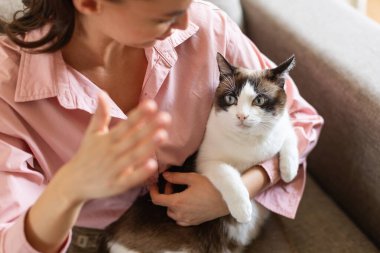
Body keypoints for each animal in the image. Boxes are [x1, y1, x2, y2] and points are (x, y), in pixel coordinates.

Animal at [98, 53, 300, 253]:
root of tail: (109, 234)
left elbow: (289, 133)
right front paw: (243, 210)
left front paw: (289, 171)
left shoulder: (280, 128)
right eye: (231, 99)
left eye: (259, 100)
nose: (242, 116)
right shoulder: (205, 161)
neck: (249, 142)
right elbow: (228, 174)